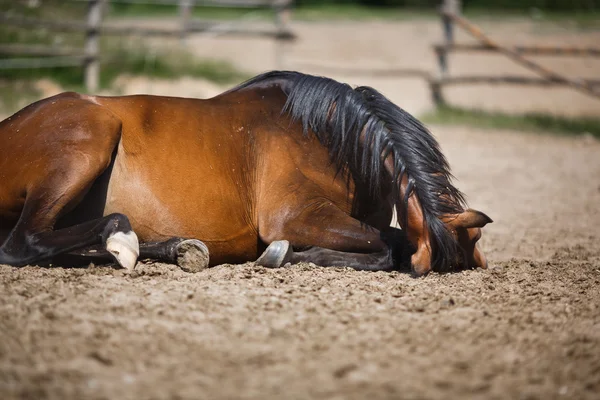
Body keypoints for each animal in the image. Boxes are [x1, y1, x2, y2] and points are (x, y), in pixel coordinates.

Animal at [0, 70, 492, 276]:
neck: (333, 139)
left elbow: (390, 242)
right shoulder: (294, 216)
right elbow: (389, 245)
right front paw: (284, 255)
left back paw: (177, 249)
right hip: (88, 139)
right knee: (26, 243)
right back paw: (127, 243)